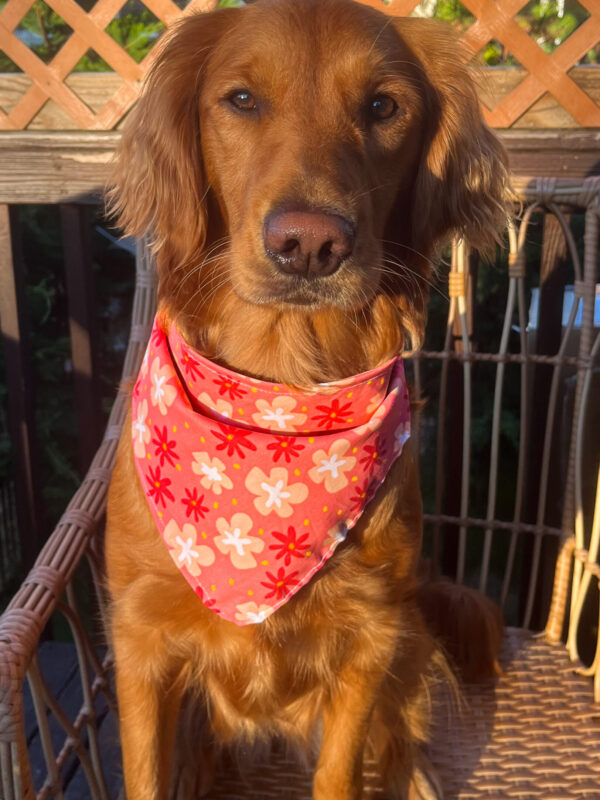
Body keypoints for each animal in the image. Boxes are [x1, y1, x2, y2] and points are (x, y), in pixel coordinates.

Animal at [105, 0, 508, 796]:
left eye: (383, 107)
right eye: (241, 100)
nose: (310, 244)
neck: (281, 396)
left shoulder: (373, 634)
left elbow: (341, 770)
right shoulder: (139, 637)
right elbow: (144, 773)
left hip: (410, 638)